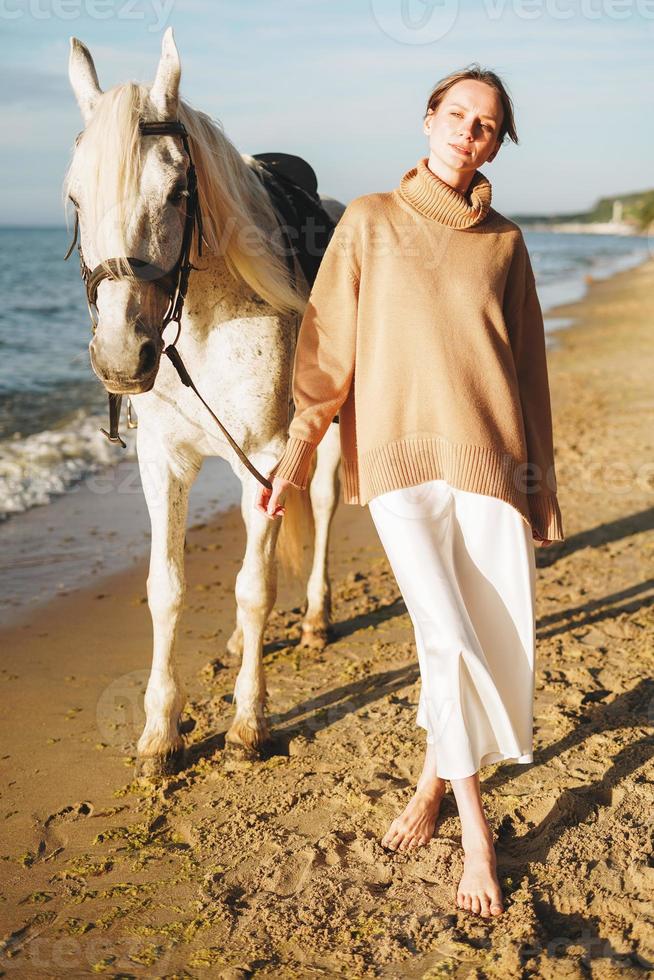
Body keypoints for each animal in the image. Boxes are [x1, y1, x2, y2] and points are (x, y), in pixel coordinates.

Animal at [65, 30, 348, 776]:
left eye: (175, 191)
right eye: (74, 197)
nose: (119, 355)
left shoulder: (271, 457)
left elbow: (254, 589)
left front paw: (249, 724)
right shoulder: (163, 459)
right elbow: (166, 590)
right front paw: (160, 732)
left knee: (325, 508)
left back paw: (316, 619)